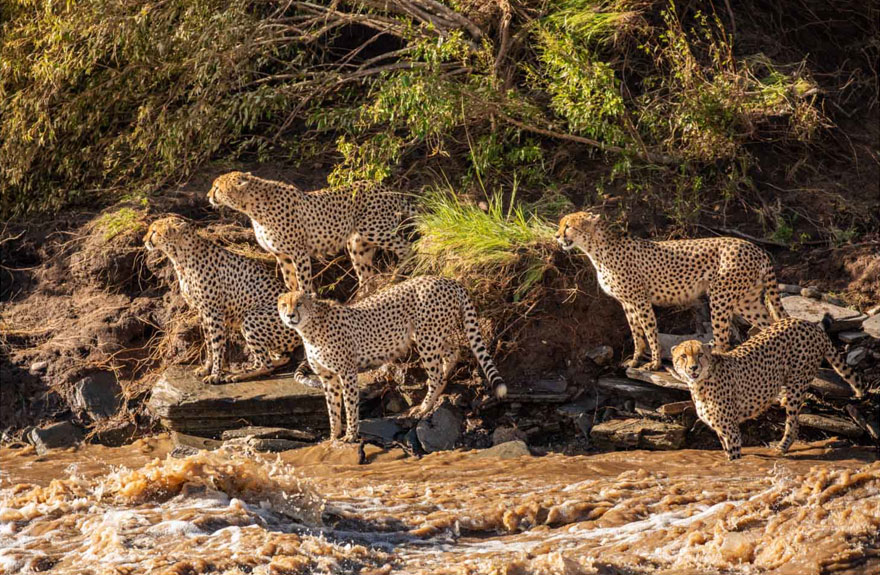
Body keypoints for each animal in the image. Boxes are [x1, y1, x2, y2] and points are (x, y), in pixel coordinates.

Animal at [144, 218, 310, 384]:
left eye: (154, 232)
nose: (144, 240)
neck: (180, 256)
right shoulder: (202, 312)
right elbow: (208, 343)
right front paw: (206, 368)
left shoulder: (213, 313)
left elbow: (217, 344)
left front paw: (215, 374)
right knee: (279, 358)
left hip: (251, 317)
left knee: (266, 365)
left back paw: (237, 375)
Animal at [208, 172, 414, 294]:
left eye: (217, 187)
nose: (208, 196)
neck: (252, 208)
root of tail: (385, 187)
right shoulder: (281, 255)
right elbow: (290, 281)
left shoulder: (298, 252)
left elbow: (303, 280)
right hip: (357, 244)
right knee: (366, 275)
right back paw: (361, 298)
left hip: (375, 229)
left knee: (407, 247)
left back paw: (398, 277)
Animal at [276, 276, 508, 444]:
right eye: (284, 305)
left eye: (299, 303)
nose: (290, 315)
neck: (310, 327)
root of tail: (446, 279)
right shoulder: (328, 377)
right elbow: (332, 408)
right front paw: (333, 436)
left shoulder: (347, 372)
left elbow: (350, 405)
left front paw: (350, 435)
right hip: (430, 335)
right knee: (453, 352)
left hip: (427, 338)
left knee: (436, 374)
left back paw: (424, 407)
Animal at [556, 212, 784, 368]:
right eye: (560, 225)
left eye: (568, 226)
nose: (557, 236)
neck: (598, 250)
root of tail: (756, 248)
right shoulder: (627, 303)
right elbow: (636, 333)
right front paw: (635, 360)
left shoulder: (640, 300)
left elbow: (650, 332)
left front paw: (654, 363)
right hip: (746, 301)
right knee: (770, 324)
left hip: (721, 297)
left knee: (723, 340)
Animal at [672, 318, 868, 462]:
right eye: (683, 356)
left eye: (700, 355)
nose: (693, 368)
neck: (700, 384)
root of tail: (809, 323)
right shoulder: (721, 429)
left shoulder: (731, 430)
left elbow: (734, 457)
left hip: (797, 385)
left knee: (793, 423)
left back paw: (781, 448)